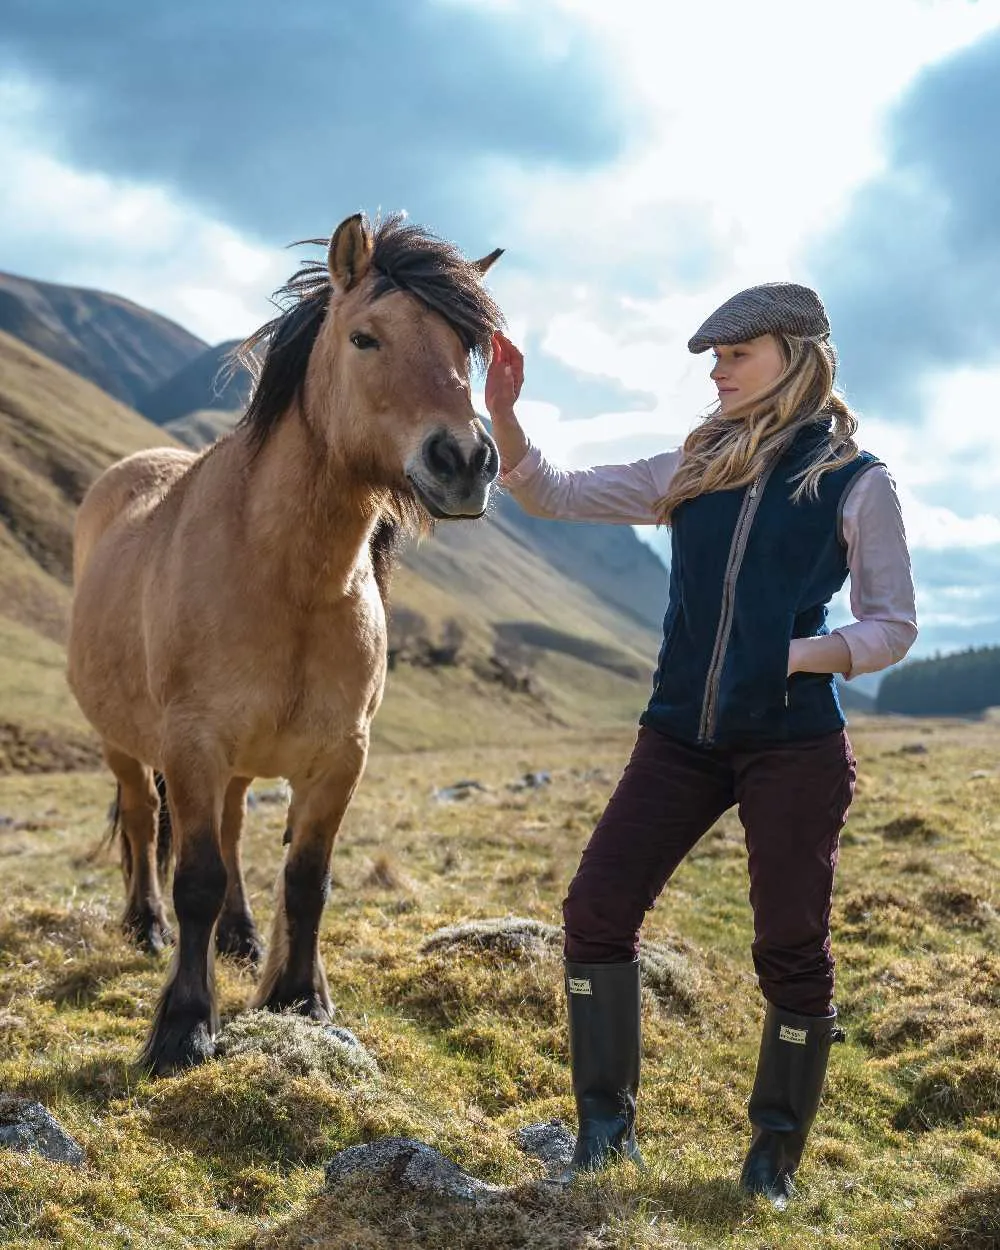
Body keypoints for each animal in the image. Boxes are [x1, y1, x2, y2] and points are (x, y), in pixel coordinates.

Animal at [69, 212, 505, 1075]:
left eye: (464, 349)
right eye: (366, 337)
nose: (466, 460)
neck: (287, 577)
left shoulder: (340, 757)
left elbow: (307, 878)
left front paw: (299, 997)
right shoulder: (192, 745)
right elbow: (196, 878)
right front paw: (183, 1026)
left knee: (234, 834)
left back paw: (238, 939)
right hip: (126, 744)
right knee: (141, 820)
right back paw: (146, 926)